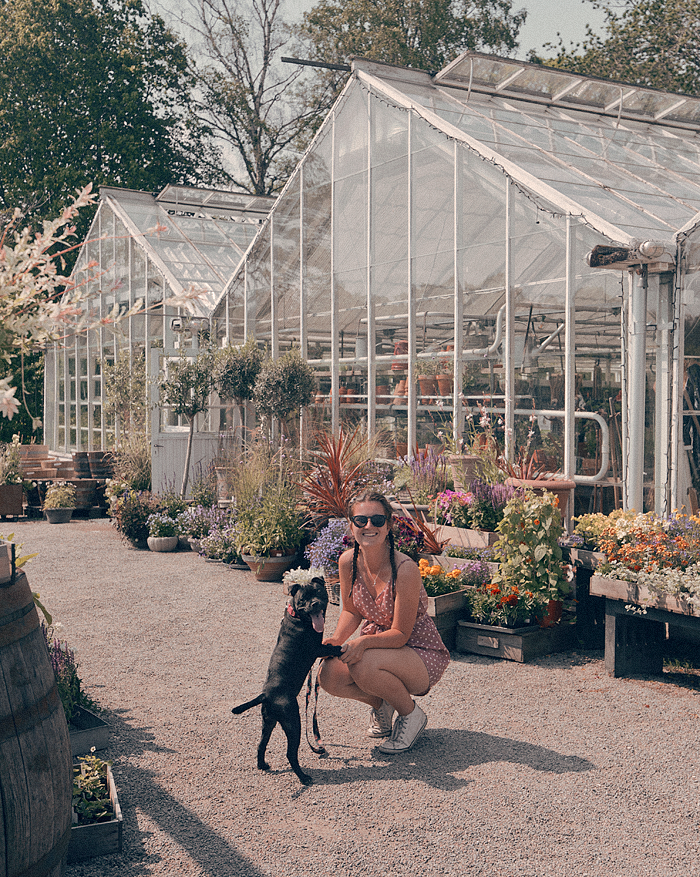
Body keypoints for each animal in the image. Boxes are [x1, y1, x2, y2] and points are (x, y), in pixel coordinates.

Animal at [232, 580, 342, 784]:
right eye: (303, 599)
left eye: (319, 592)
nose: (315, 603)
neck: (298, 616)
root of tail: (265, 695)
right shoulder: (316, 648)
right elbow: (331, 648)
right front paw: (340, 648)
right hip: (293, 723)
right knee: (290, 754)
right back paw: (304, 778)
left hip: (268, 723)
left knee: (261, 745)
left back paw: (262, 765)